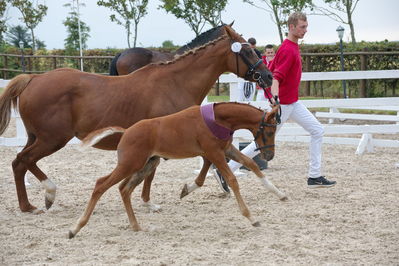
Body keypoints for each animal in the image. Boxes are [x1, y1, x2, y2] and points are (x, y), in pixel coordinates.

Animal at [69, 103, 288, 238]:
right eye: (269, 131)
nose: (269, 155)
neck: (217, 119)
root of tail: (127, 131)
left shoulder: (226, 149)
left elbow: (251, 165)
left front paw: (280, 194)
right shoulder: (214, 153)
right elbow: (233, 180)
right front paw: (252, 218)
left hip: (146, 165)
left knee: (124, 189)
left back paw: (136, 226)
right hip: (130, 164)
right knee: (101, 185)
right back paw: (75, 228)